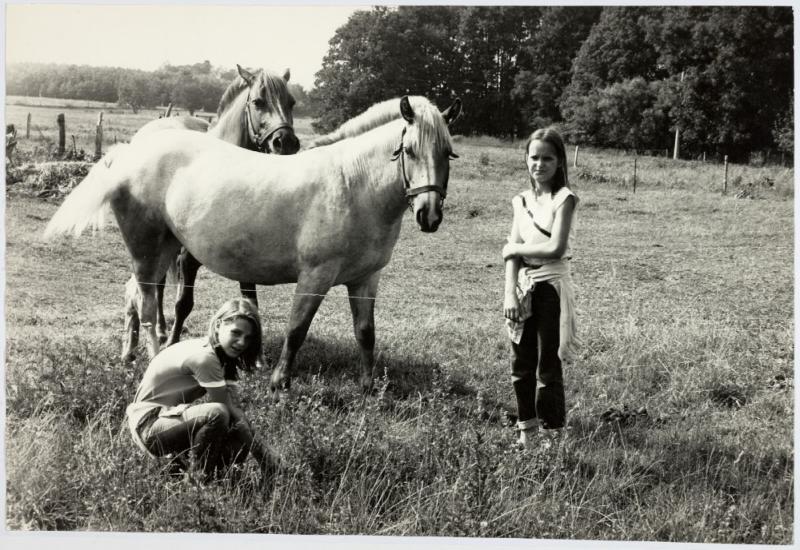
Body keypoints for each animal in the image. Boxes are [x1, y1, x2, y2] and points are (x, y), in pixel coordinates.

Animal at [122, 63, 300, 362]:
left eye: (292, 102)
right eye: (258, 101)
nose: (285, 143)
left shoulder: (245, 255)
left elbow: (251, 301)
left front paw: (258, 357)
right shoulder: (187, 259)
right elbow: (183, 303)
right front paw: (172, 344)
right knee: (155, 288)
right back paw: (156, 333)